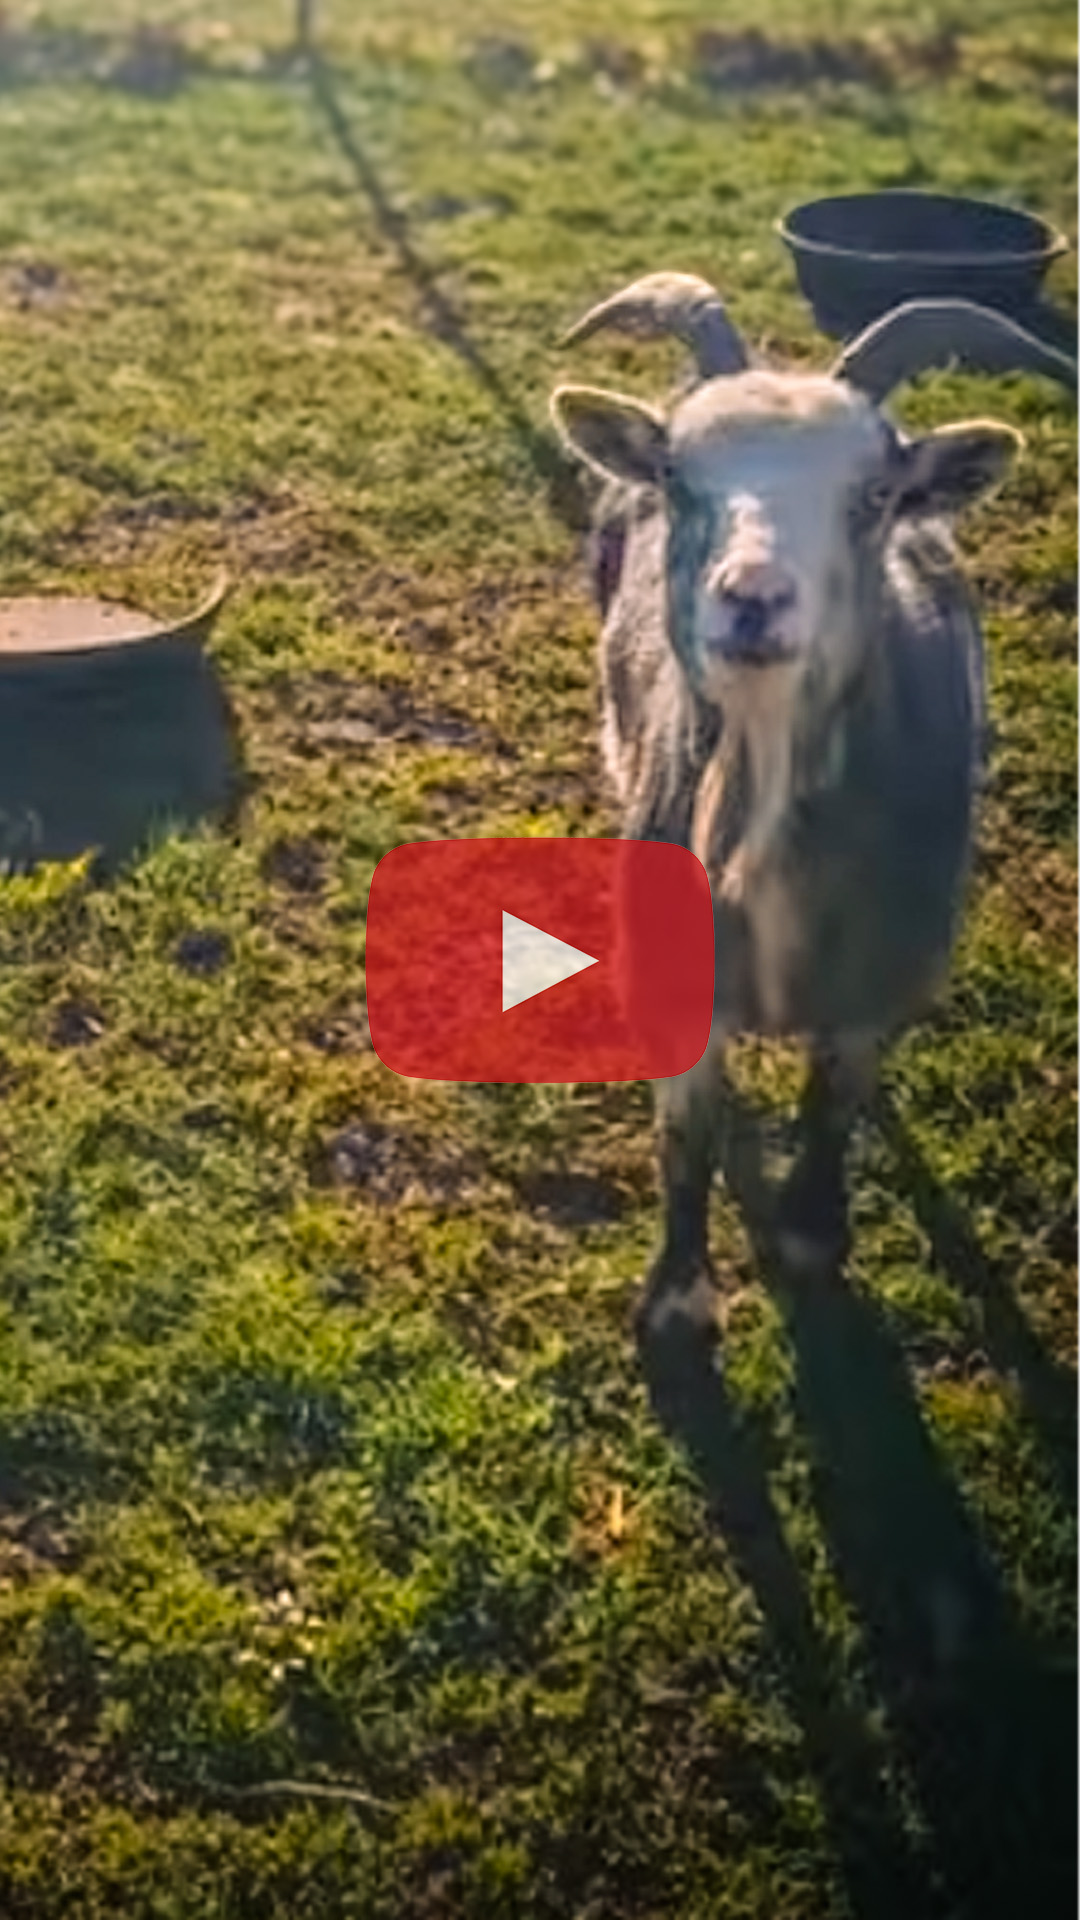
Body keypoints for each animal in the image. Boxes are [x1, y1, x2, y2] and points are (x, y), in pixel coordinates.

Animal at [551, 277, 1062, 1336]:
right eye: (677, 476)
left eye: (875, 498)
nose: (753, 599)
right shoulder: (678, 983)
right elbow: (687, 1138)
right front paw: (677, 1298)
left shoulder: (876, 982)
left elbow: (835, 1103)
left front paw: (814, 1234)